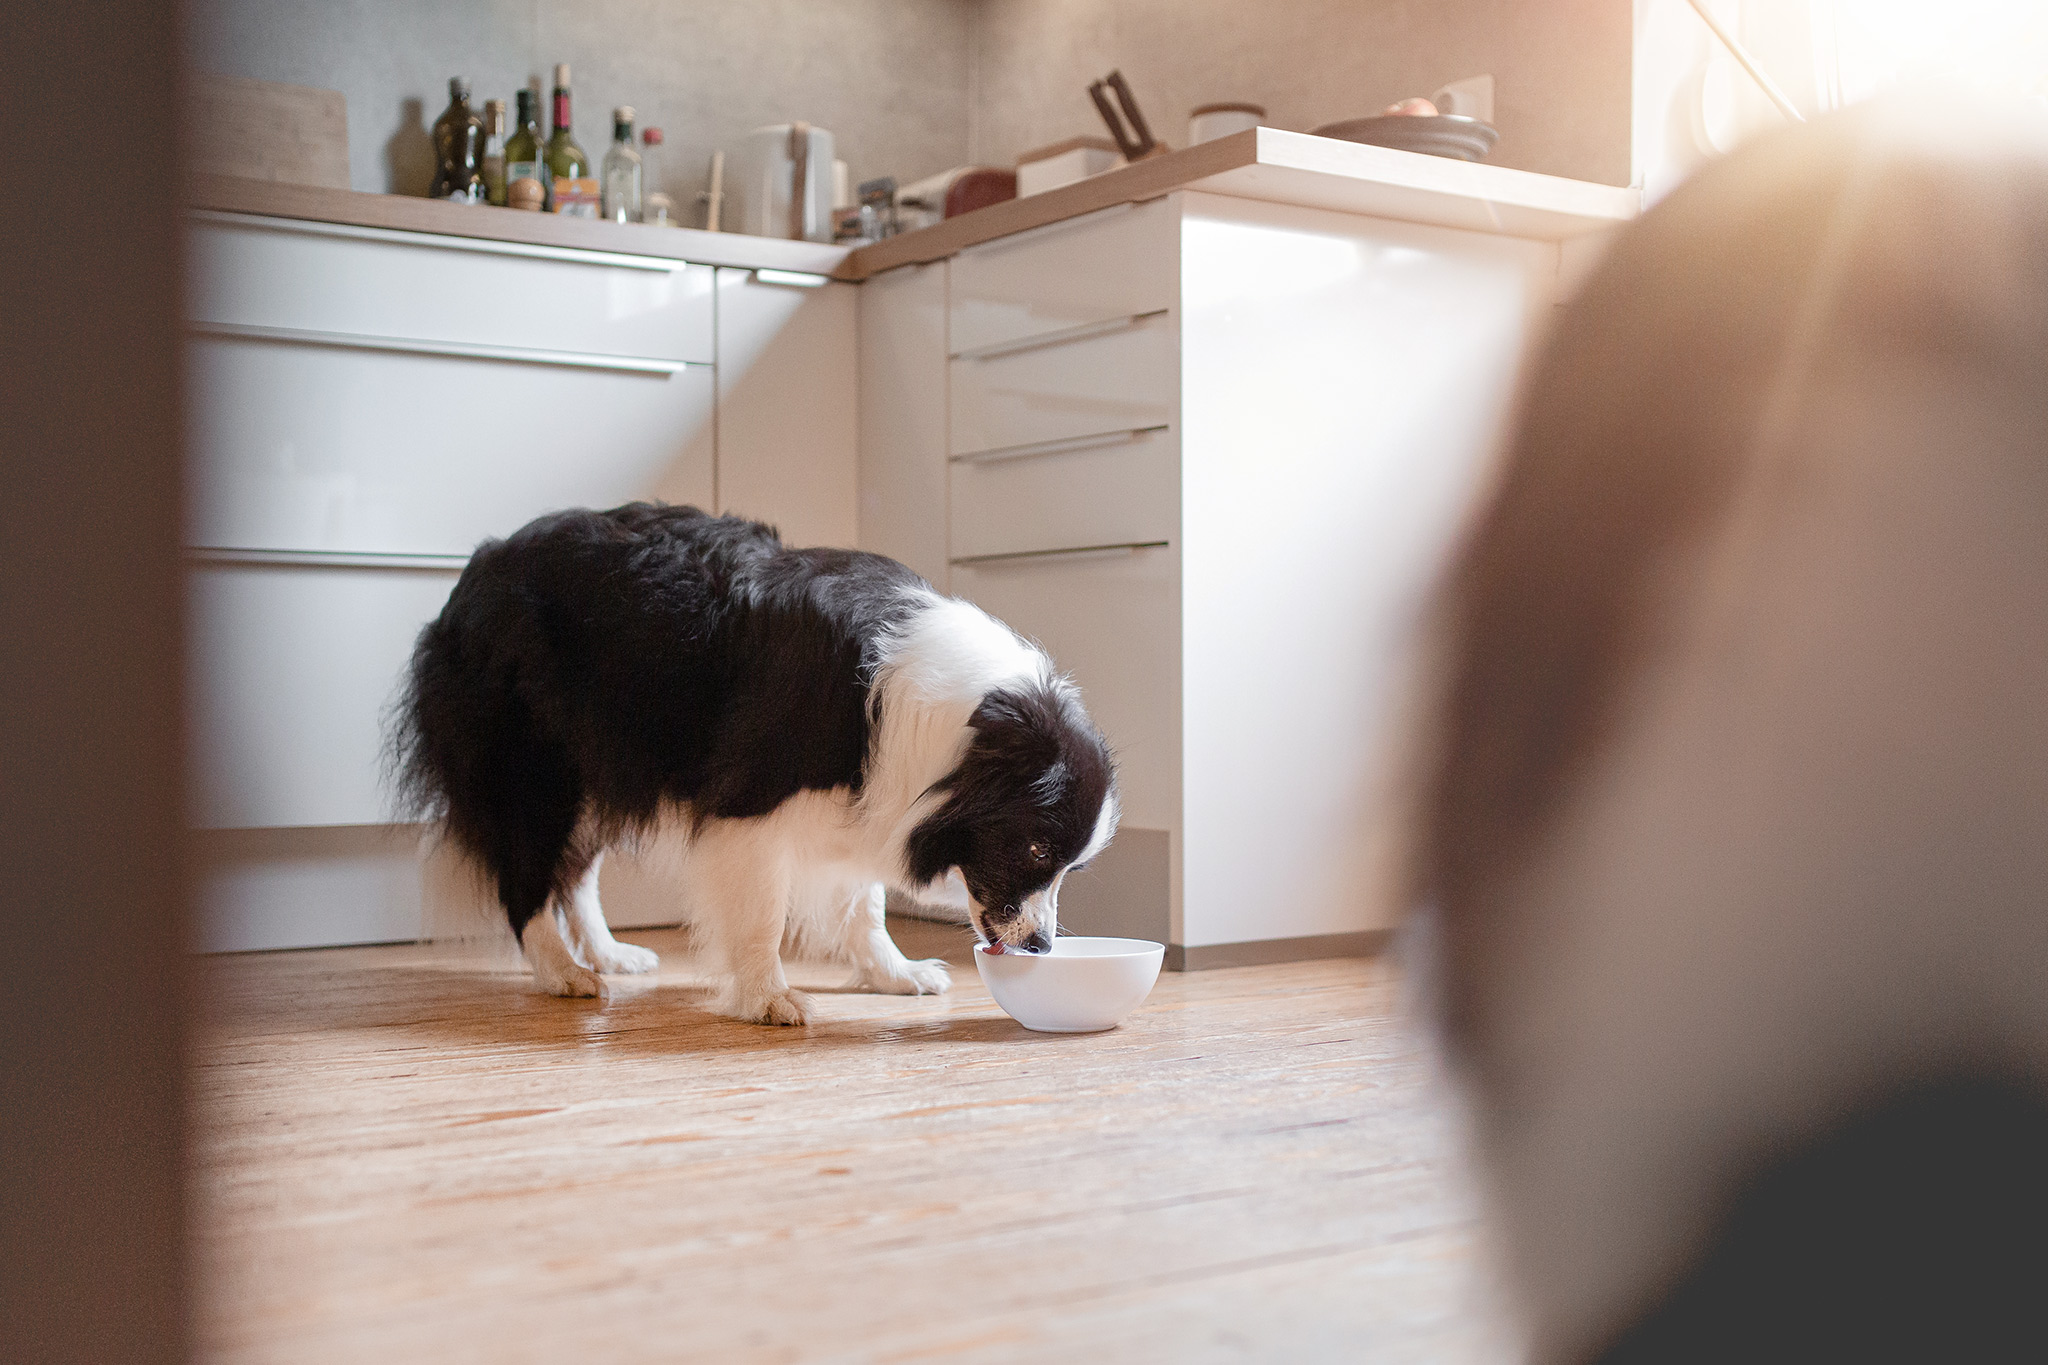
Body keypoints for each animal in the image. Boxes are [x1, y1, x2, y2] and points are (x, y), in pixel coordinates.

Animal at [389, 501, 1114, 1023]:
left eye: (1071, 866)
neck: (954, 723)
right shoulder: (753, 796)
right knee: (528, 871)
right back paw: (564, 971)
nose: (1043, 946)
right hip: (536, 760)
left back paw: (608, 953)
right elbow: (763, 907)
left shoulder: (869, 791)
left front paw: (895, 973)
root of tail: (480, 562)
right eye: (1035, 849)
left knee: (576, 870)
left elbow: (864, 901)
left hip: (602, 760)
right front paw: (770, 998)